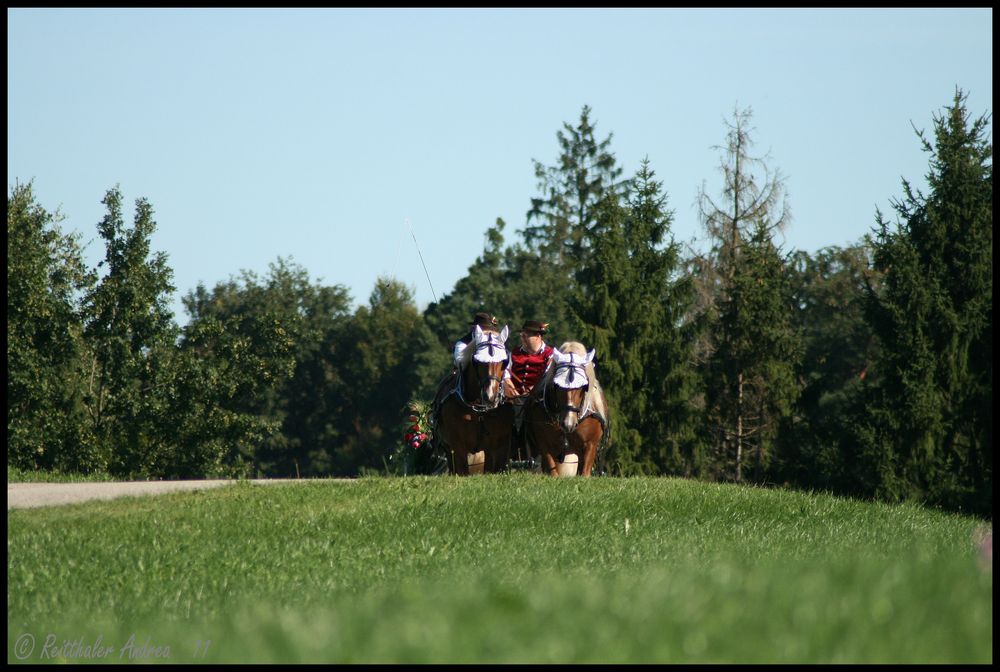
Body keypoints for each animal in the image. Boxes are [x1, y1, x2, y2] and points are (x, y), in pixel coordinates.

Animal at [436, 328, 516, 476]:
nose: (490, 396)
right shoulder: (458, 446)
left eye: (504, 362)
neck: (480, 410)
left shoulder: (500, 445)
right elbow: (461, 470)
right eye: (477, 362)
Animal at [524, 342, 608, 478]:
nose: (568, 424)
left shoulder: (590, 445)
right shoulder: (545, 444)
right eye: (557, 386)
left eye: (583, 387)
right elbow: (553, 472)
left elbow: (585, 473)